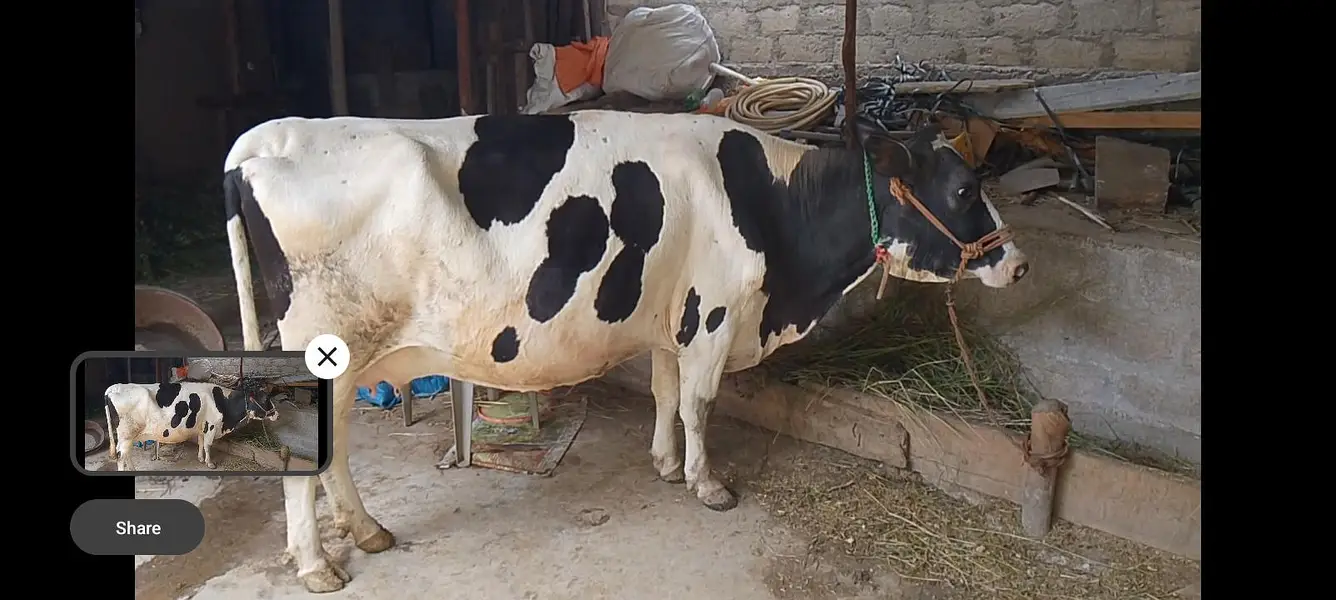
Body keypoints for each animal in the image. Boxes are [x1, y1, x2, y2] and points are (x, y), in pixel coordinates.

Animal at [103, 381, 279, 471]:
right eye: (265, 399)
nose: (276, 414)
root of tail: (114, 387)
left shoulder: (202, 426)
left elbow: (201, 442)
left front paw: (200, 458)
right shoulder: (212, 425)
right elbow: (208, 445)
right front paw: (210, 463)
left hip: (129, 435)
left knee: (126, 454)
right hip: (126, 434)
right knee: (121, 456)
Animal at [222, 110, 1029, 592]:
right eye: (964, 189)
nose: (1018, 264)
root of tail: (265, 139)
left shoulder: (674, 318)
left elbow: (669, 393)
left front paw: (666, 464)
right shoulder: (714, 313)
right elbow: (701, 403)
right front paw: (707, 484)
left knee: (334, 449)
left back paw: (366, 531)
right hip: (325, 347)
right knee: (303, 454)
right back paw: (318, 566)